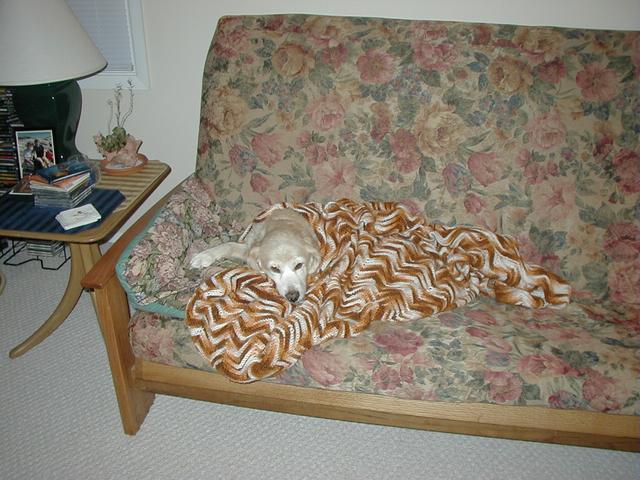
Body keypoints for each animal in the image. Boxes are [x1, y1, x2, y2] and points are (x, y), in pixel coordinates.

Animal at [190, 208, 321, 303]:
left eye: (299, 265)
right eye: (274, 269)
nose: (293, 297)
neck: (282, 225)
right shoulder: (249, 247)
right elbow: (229, 245)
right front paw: (204, 256)